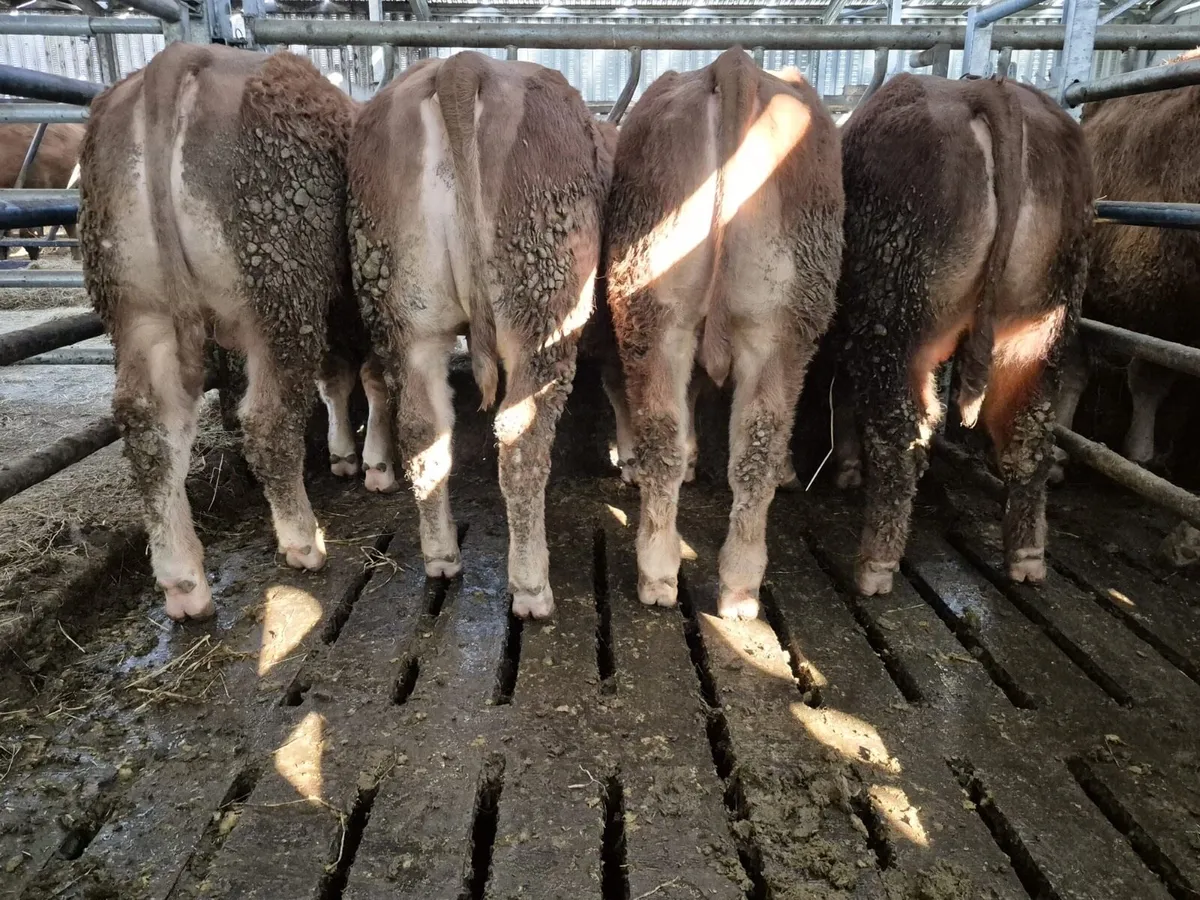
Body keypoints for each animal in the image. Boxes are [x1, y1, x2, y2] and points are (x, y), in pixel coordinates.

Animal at [80, 42, 393, 622]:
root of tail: (181, 57)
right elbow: (371, 380)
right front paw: (375, 464)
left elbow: (338, 382)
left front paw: (343, 453)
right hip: (277, 295)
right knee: (267, 422)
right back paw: (302, 541)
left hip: (138, 310)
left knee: (149, 430)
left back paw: (183, 582)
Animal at [347, 51, 614, 620]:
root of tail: (462, 64)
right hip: (542, 308)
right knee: (520, 445)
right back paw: (532, 587)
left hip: (405, 313)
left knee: (422, 431)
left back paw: (441, 556)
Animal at [603, 46, 844, 619]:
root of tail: (733, 63)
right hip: (780, 328)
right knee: (755, 445)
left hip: (663, 313)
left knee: (686, 436)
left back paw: (683, 576)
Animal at [829, 73, 1093, 597]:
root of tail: (985, 89)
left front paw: (847, 469)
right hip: (1038, 332)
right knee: (1027, 437)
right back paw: (1027, 558)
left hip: (894, 322)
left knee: (900, 436)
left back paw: (875, 565)